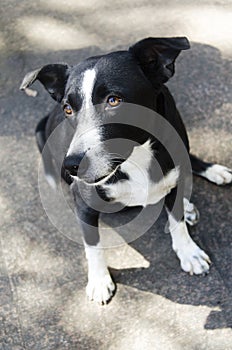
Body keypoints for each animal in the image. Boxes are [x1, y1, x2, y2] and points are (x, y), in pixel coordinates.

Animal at [20, 37, 232, 304]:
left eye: (114, 100)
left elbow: (177, 220)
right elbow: (92, 244)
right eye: (68, 109)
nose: (73, 165)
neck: (135, 154)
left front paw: (188, 251)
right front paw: (99, 281)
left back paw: (207, 178)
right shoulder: (84, 203)